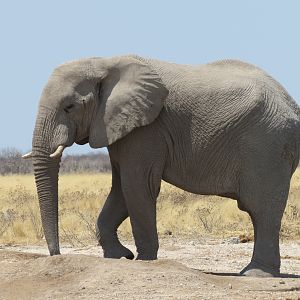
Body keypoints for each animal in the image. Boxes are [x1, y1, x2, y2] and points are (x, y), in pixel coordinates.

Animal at [24, 53, 300, 276]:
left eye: (69, 107)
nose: (57, 255)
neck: (104, 62)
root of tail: (292, 104)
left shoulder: (148, 129)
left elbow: (137, 187)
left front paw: (144, 261)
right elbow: (121, 190)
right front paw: (121, 257)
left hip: (267, 146)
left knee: (262, 209)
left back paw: (256, 274)